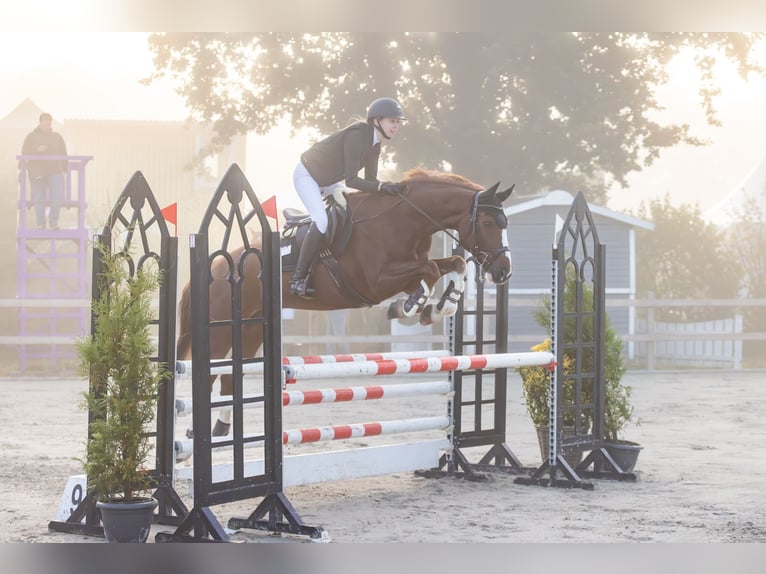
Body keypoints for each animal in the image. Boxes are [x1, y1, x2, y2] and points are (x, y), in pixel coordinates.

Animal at [176, 168, 513, 438]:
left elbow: (454, 263)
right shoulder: (376, 282)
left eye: (504, 223)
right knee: (208, 376)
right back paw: (194, 437)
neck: (405, 219)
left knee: (231, 377)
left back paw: (221, 429)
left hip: (251, 329)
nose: (503, 271)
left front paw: (439, 306)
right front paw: (409, 307)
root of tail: (214, 267)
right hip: (220, 330)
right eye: (487, 223)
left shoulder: (405, 272)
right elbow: (429, 271)